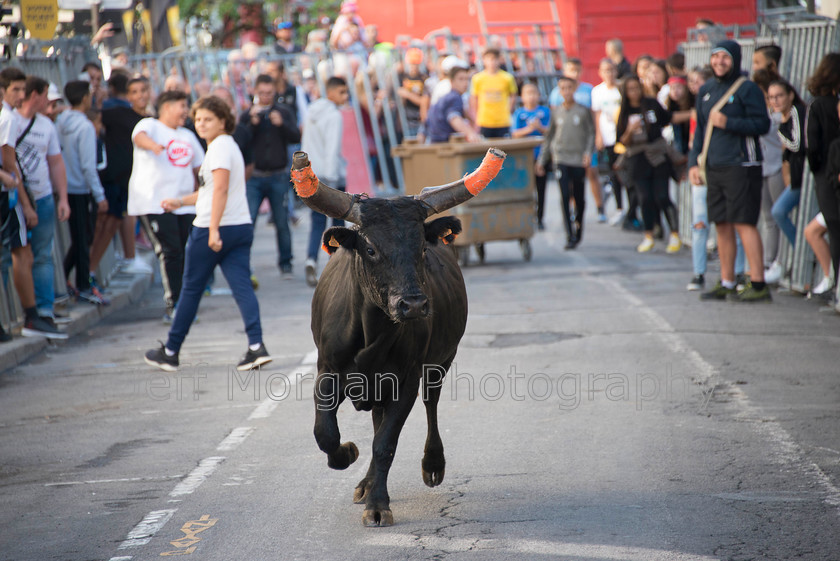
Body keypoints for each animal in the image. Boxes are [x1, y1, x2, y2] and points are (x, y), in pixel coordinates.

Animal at [288, 149, 506, 524]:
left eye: (422, 248)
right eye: (371, 249)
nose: (413, 305)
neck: (369, 334)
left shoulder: (406, 379)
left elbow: (385, 443)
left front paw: (378, 505)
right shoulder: (326, 371)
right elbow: (326, 433)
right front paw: (348, 453)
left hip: (440, 363)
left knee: (430, 405)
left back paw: (431, 465)